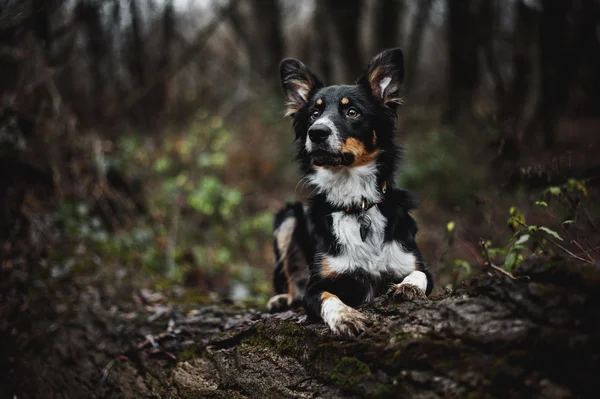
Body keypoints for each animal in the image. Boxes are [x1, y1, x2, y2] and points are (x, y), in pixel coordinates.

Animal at [266, 48, 432, 340]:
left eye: (352, 112)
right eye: (314, 113)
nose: (316, 133)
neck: (356, 203)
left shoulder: (415, 265)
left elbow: (418, 275)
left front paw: (408, 286)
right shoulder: (318, 285)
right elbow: (327, 297)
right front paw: (346, 317)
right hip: (288, 217)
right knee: (292, 283)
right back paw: (281, 299)